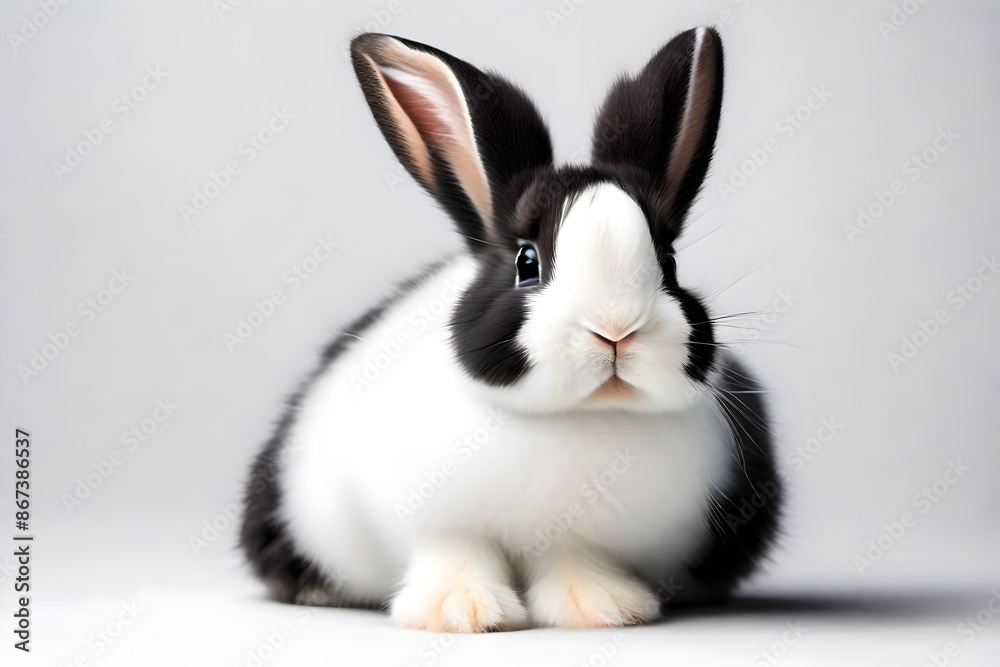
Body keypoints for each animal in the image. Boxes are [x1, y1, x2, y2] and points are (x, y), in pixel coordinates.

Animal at [240, 26, 782, 632]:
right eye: (527, 263)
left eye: (668, 262)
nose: (615, 330)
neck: (575, 419)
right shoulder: (443, 525)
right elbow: (455, 554)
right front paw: (462, 611)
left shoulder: (578, 538)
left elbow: (573, 560)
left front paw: (601, 606)